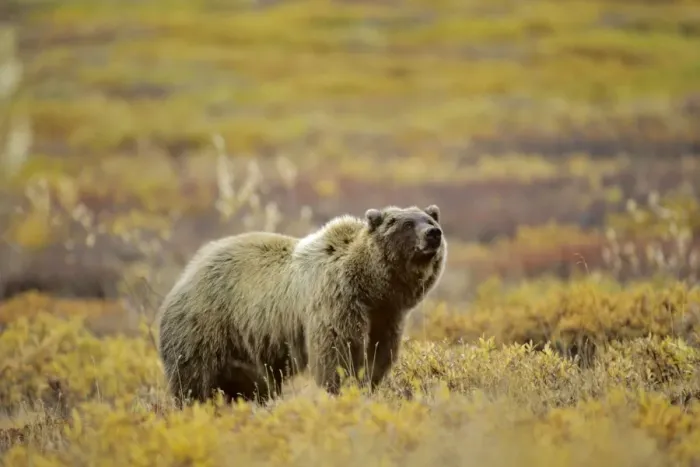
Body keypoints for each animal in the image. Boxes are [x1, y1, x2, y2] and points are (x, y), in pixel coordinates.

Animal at [157, 204, 447, 406]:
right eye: (407, 223)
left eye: (430, 219)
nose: (434, 233)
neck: (370, 286)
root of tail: (186, 273)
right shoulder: (336, 301)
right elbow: (336, 352)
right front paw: (344, 388)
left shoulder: (386, 314)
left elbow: (379, 353)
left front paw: (369, 382)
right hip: (208, 324)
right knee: (194, 376)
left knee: (252, 382)